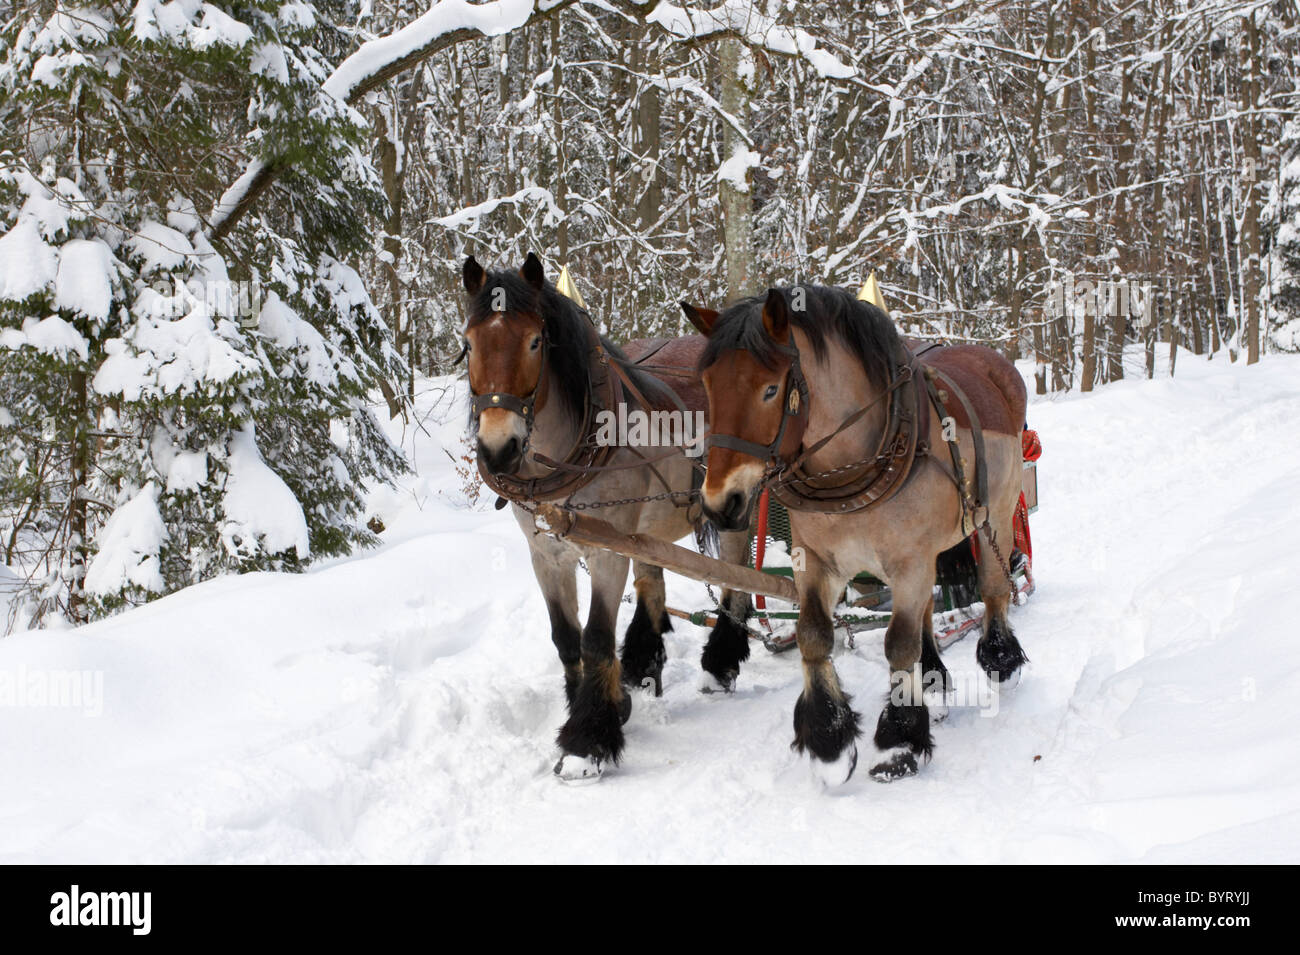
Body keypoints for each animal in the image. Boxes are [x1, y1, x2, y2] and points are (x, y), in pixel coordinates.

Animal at [465, 255, 754, 784]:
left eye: (534, 342)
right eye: (469, 342)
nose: (499, 449)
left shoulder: (605, 552)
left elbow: (596, 639)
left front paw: (587, 742)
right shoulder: (547, 554)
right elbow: (566, 639)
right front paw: (602, 705)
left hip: (735, 506)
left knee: (736, 581)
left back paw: (720, 664)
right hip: (646, 530)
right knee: (652, 585)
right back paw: (643, 664)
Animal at [686, 287, 1029, 789]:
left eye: (770, 389)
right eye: (708, 386)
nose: (719, 502)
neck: (854, 463)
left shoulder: (909, 560)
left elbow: (898, 644)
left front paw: (899, 740)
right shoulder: (816, 558)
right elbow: (813, 634)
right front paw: (828, 740)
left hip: (996, 516)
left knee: (993, 589)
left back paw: (1001, 659)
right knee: (928, 609)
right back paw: (933, 682)